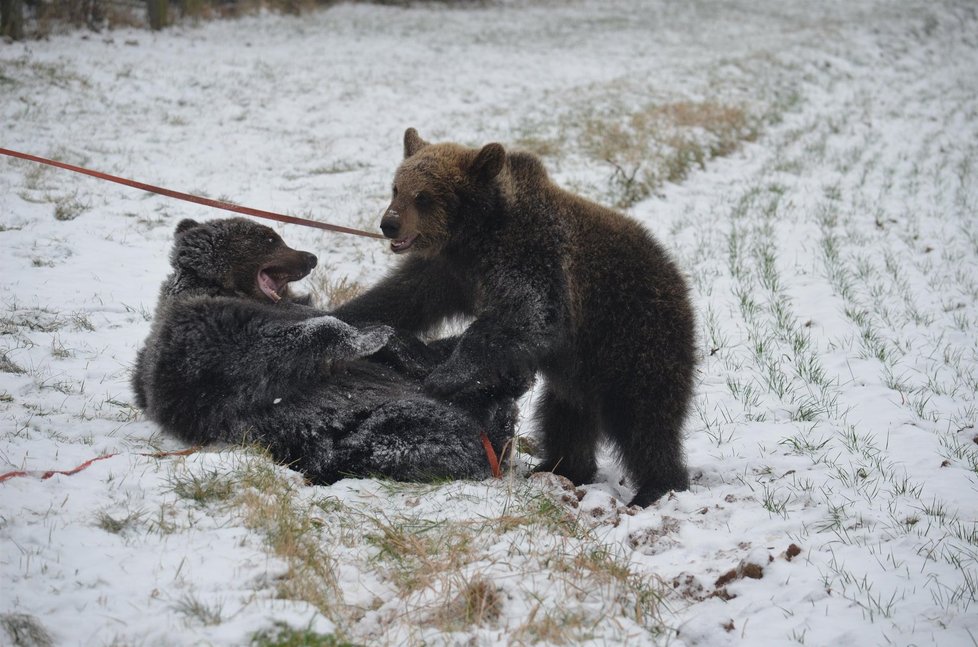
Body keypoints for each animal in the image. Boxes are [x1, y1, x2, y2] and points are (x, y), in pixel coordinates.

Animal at [132, 220, 516, 484]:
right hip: (345, 429)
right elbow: (268, 347)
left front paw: (394, 341)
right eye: (269, 238)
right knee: (403, 431)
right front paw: (368, 336)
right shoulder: (201, 341)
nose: (310, 257)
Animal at [336, 129, 692, 508]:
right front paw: (342, 316)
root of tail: (679, 281)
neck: (475, 235)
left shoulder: (531, 255)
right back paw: (561, 466)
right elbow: (400, 297)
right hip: (579, 372)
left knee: (644, 418)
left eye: (424, 196)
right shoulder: (448, 272)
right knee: (564, 415)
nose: (388, 224)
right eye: (396, 188)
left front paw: (443, 376)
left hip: (634, 334)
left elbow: (527, 314)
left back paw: (658, 486)